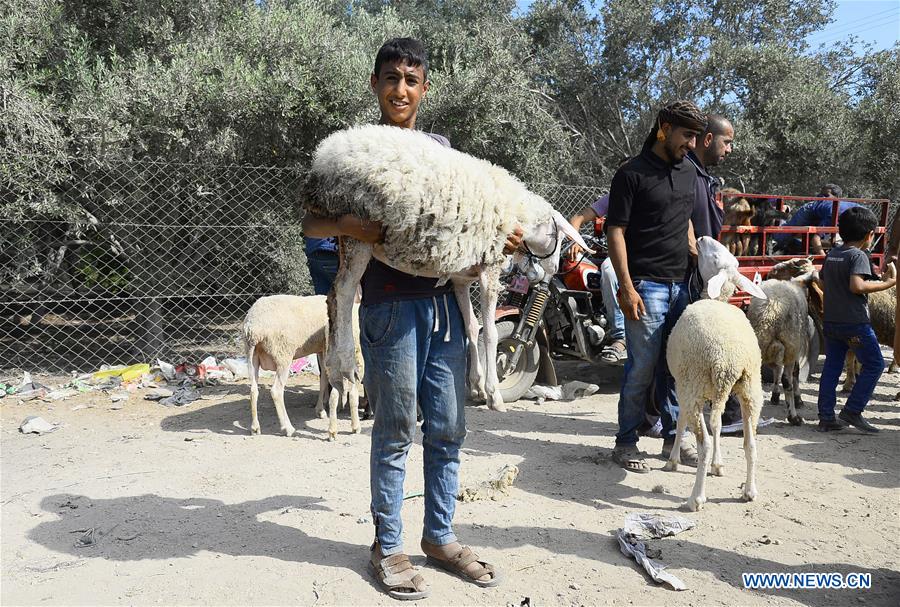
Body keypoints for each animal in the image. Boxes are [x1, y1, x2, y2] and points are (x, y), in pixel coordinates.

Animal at [302, 126, 592, 416]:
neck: (518, 217)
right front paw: (493, 393)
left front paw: (476, 385)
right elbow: (491, 332)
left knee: (332, 297)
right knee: (344, 292)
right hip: (357, 230)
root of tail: (323, 157)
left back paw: (334, 369)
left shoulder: (461, 278)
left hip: (343, 236)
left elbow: (472, 326)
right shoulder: (489, 268)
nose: (551, 271)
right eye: (559, 236)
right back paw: (346, 365)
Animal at [660, 238, 768, 512]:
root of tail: (727, 361)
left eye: (715, 257)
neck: (718, 299)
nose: (700, 239)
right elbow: (718, 425)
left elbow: (680, 421)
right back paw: (749, 491)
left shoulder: (683, 384)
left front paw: (673, 460)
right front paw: (718, 466)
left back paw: (696, 498)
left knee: (704, 443)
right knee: (750, 444)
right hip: (750, 389)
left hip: (696, 384)